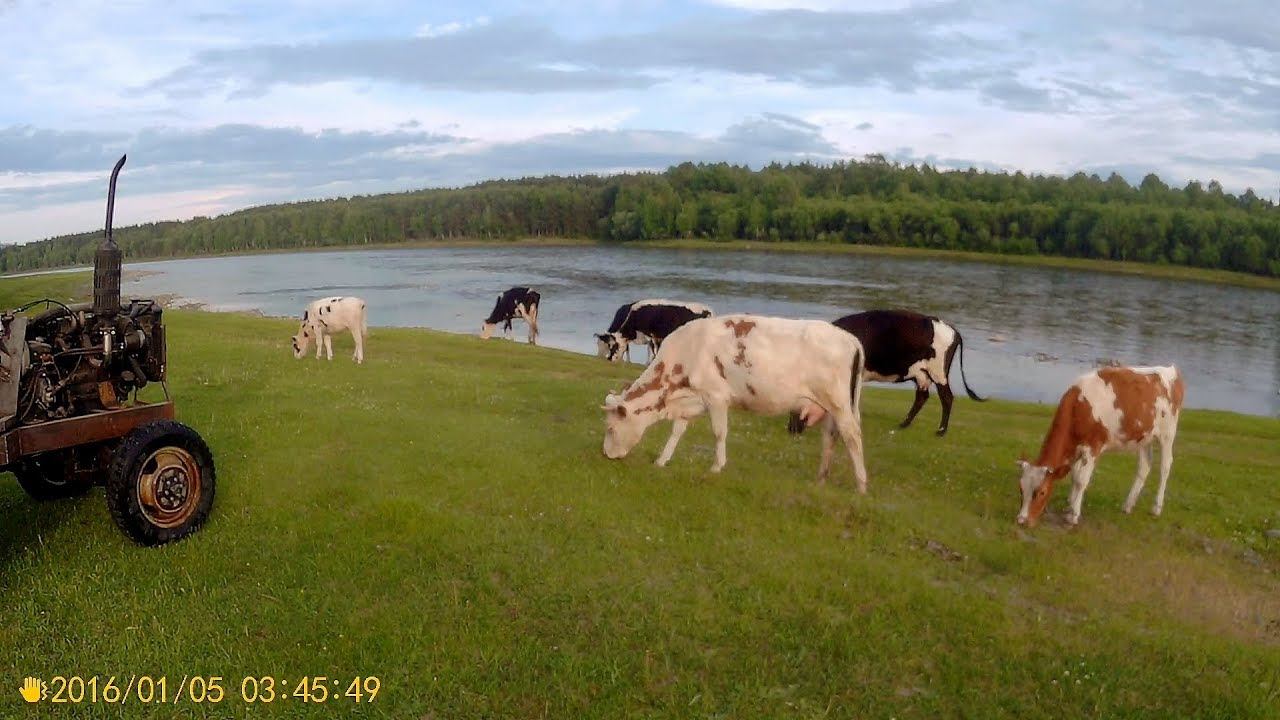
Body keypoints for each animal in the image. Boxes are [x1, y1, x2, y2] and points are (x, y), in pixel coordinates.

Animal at [601, 312, 870, 486]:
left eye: (611, 428)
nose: (606, 455)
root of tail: (849, 338)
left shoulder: (716, 397)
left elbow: (719, 433)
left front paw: (716, 467)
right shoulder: (692, 401)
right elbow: (677, 431)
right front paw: (661, 460)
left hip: (838, 402)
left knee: (852, 435)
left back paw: (861, 485)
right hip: (831, 406)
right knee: (830, 436)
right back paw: (821, 479)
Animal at [783, 307, 983, 435]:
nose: (791, 430)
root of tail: (949, 327)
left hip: (938, 372)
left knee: (946, 397)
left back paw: (941, 431)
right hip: (921, 373)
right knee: (922, 396)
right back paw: (904, 424)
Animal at [1013, 363, 1182, 527]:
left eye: (1042, 492)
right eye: (1021, 489)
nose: (1022, 520)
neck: (1078, 408)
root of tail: (1171, 370)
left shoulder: (1093, 446)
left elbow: (1081, 479)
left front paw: (1073, 515)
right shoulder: (1077, 449)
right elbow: (1074, 476)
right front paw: (1070, 504)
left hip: (1168, 434)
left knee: (1165, 466)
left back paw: (1156, 508)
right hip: (1144, 437)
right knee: (1144, 466)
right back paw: (1127, 506)